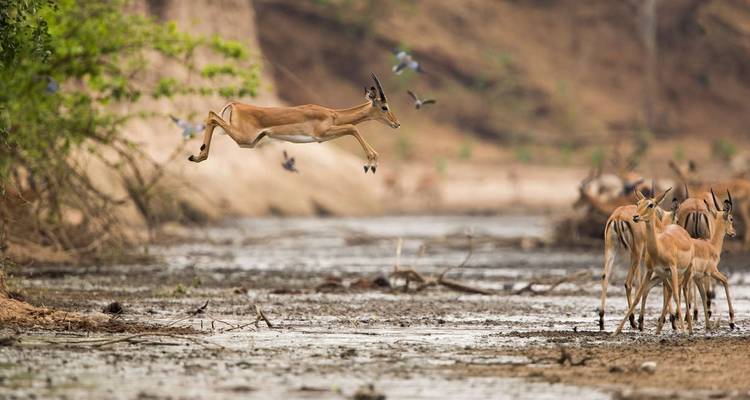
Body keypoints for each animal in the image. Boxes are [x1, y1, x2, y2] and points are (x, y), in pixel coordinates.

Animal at [188, 74, 400, 173]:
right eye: (384, 107)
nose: (397, 123)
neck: (332, 114)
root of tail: (236, 104)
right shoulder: (322, 135)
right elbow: (353, 127)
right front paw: (370, 163)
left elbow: (352, 128)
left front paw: (372, 163)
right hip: (245, 139)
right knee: (212, 115)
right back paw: (197, 156)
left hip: (250, 141)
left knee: (212, 116)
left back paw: (196, 156)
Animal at [613, 188, 695, 335]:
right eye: (638, 203)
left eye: (651, 205)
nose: (635, 217)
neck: (660, 246)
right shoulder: (652, 270)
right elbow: (638, 296)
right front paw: (616, 331)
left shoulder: (672, 269)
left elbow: (676, 295)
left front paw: (682, 329)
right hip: (664, 274)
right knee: (668, 290)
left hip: (686, 270)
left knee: (683, 291)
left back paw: (688, 329)